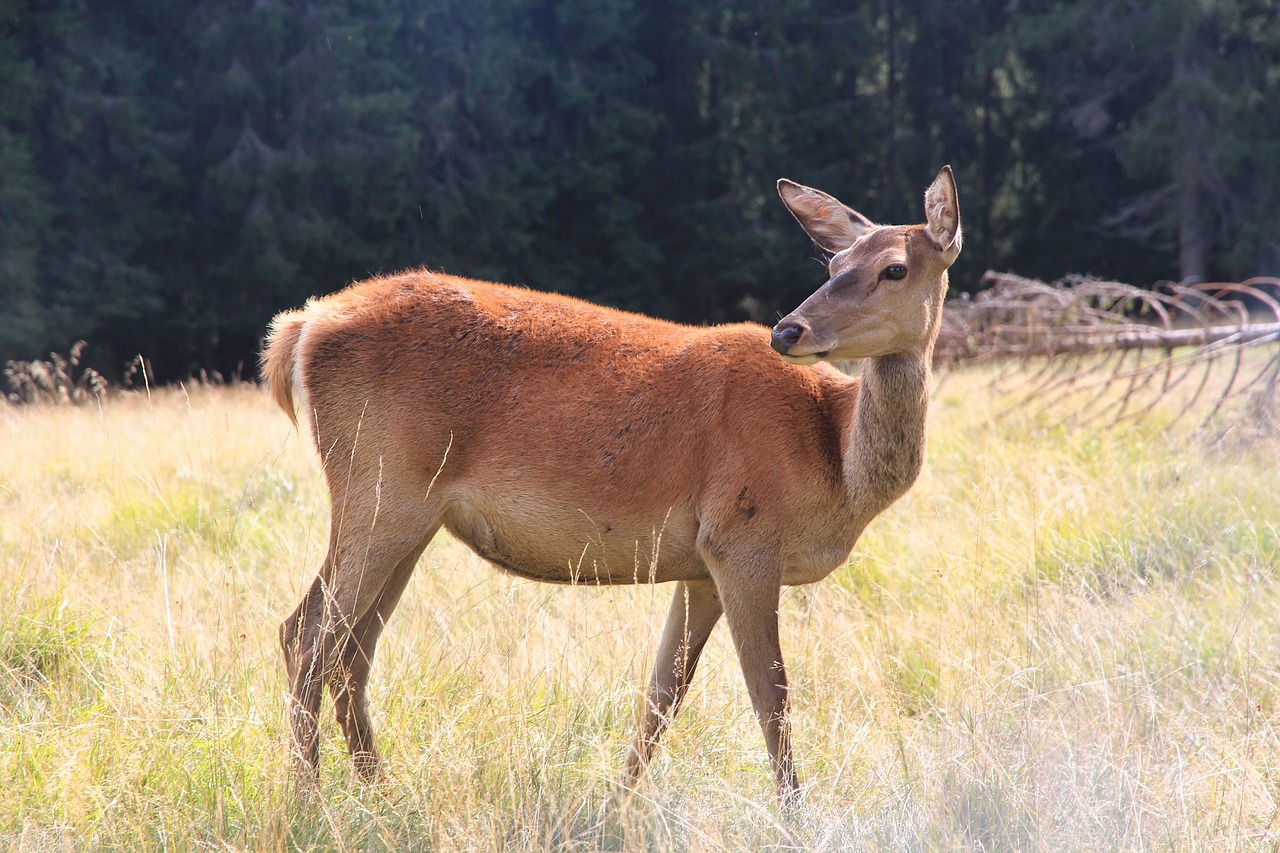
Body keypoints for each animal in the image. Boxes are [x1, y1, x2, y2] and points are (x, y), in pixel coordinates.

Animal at [259, 162, 962, 799]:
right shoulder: (742, 539)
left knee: (352, 652)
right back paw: (309, 801)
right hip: (378, 486)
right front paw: (795, 814)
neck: (834, 465)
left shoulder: (699, 565)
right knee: (306, 632)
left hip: (412, 516)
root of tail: (301, 328)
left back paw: (379, 794)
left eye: (894, 268)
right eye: (831, 265)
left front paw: (618, 805)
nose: (788, 329)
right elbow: (772, 697)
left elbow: (662, 694)